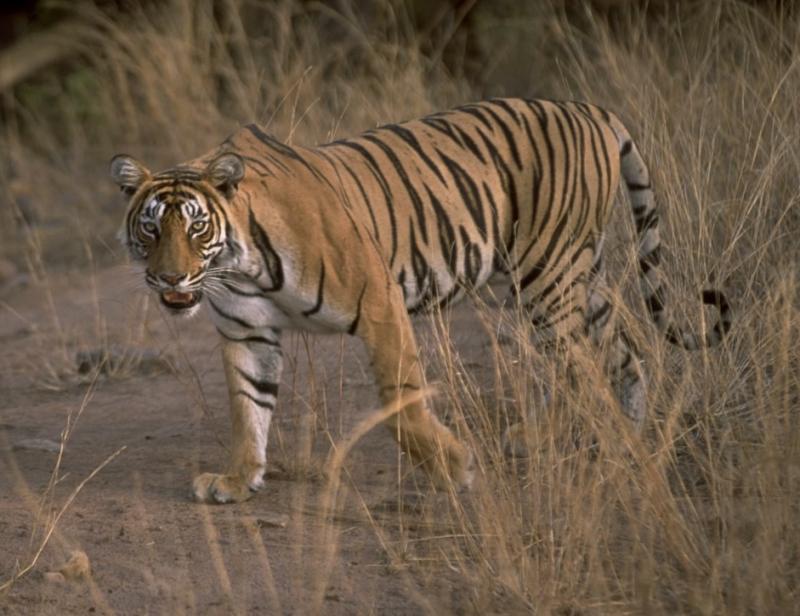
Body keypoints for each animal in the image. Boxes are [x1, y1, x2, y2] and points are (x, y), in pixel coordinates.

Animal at [111, 97, 731, 504]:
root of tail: (591, 109)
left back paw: (561, 440)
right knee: (624, 350)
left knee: (577, 364)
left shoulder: (378, 300)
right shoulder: (247, 331)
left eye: (195, 228)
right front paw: (238, 480)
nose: (169, 278)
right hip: (570, 276)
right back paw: (627, 438)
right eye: (151, 228)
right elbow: (248, 406)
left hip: (547, 277)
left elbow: (400, 402)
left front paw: (455, 469)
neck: (239, 268)